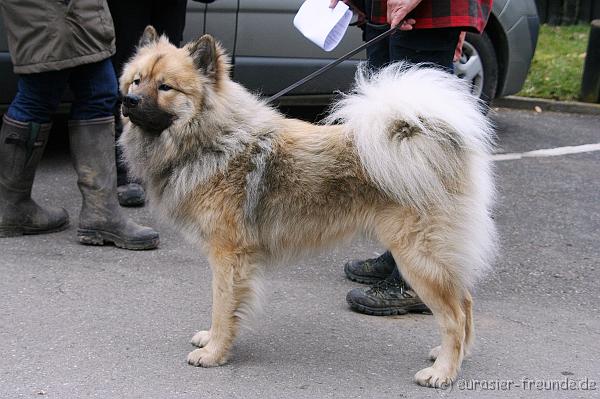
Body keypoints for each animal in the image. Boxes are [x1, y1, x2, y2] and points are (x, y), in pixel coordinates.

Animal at [118, 26, 496, 390]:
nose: (128, 101)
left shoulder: (228, 257)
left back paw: (443, 371)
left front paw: (214, 352)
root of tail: (429, 136)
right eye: (137, 80)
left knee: (454, 316)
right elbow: (221, 309)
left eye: (165, 87)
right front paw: (210, 340)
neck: (214, 138)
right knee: (466, 303)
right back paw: (454, 356)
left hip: (418, 257)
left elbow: (222, 308)